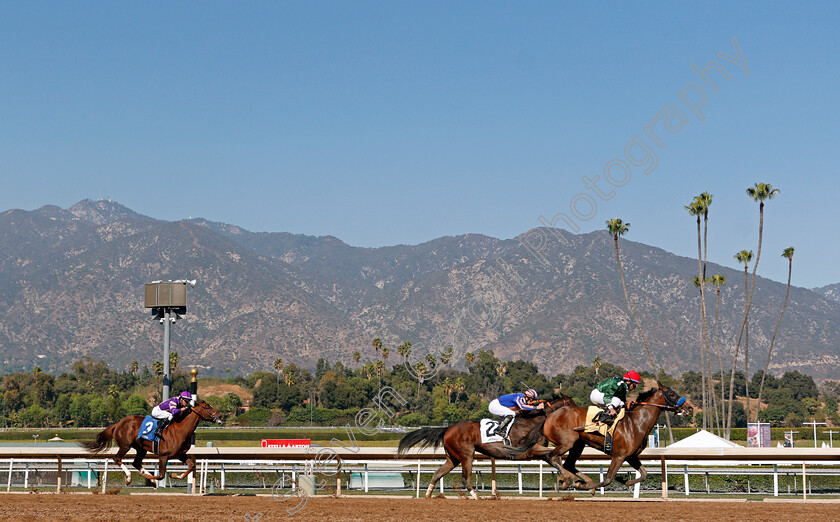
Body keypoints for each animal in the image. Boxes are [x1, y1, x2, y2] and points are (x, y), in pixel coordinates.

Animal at [79, 398, 221, 484]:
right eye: (206, 407)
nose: (220, 416)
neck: (180, 430)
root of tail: (118, 423)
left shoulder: (180, 454)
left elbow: (191, 466)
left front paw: (175, 476)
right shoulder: (163, 456)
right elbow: (161, 475)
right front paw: (151, 478)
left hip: (141, 449)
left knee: (136, 463)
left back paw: (144, 474)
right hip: (125, 446)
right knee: (117, 459)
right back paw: (129, 477)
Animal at [398, 396, 576, 498]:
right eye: (571, 404)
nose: (578, 415)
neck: (531, 422)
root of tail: (447, 429)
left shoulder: (536, 451)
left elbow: (555, 458)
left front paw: (569, 479)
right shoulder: (529, 451)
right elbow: (553, 456)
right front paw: (570, 479)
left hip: (453, 458)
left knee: (437, 474)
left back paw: (428, 495)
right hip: (466, 455)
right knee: (465, 479)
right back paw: (478, 498)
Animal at [502, 380, 692, 490]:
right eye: (672, 394)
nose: (689, 407)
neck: (636, 422)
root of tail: (549, 415)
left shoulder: (631, 456)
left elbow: (644, 474)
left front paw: (626, 481)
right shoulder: (618, 455)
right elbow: (607, 479)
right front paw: (589, 486)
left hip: (577, 445)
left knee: (567, 463)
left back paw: (576, 479)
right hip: (567, 443)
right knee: (551, 457)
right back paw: (568, 480)